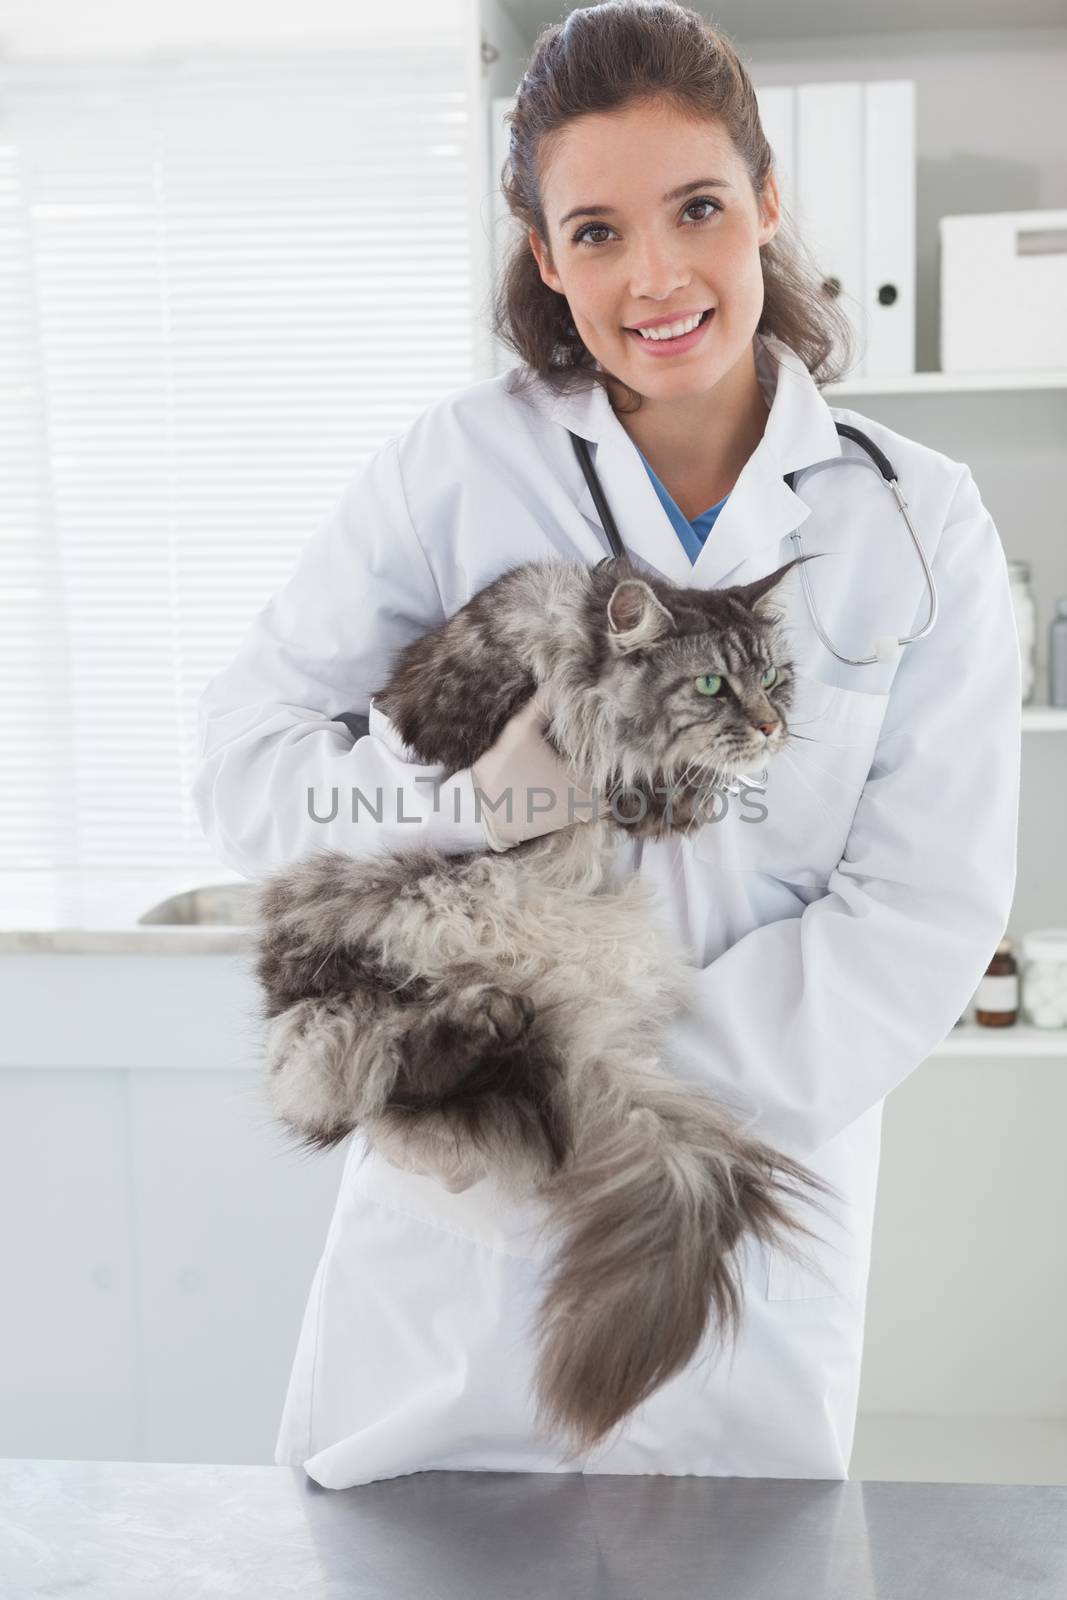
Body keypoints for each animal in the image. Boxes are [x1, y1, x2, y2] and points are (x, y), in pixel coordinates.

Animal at [254, 550, 838, 1465]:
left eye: (776, 679)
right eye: (712, 684)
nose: (773, 727)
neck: (580, 650)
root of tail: (554, 1005)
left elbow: (649, 786)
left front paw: (676, 795)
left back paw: (492, 1025)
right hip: (345, 950)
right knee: (371, 1080)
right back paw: (477, 1019)